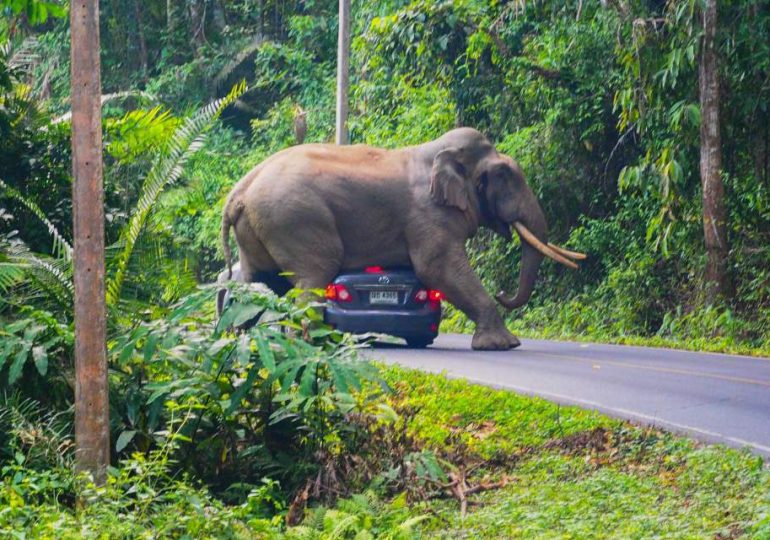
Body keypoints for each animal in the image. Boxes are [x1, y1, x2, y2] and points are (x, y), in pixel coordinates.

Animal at [220, 127, 584, 350]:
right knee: (313, 275)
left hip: (260, 229)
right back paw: (310, 343)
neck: (438, 152)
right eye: (505, 175)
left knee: (259, 281)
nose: (503, 292)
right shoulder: (428, 215)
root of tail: (238, 192)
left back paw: (242, 339)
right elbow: (437, 268)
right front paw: (504, 345)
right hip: (296, 220)